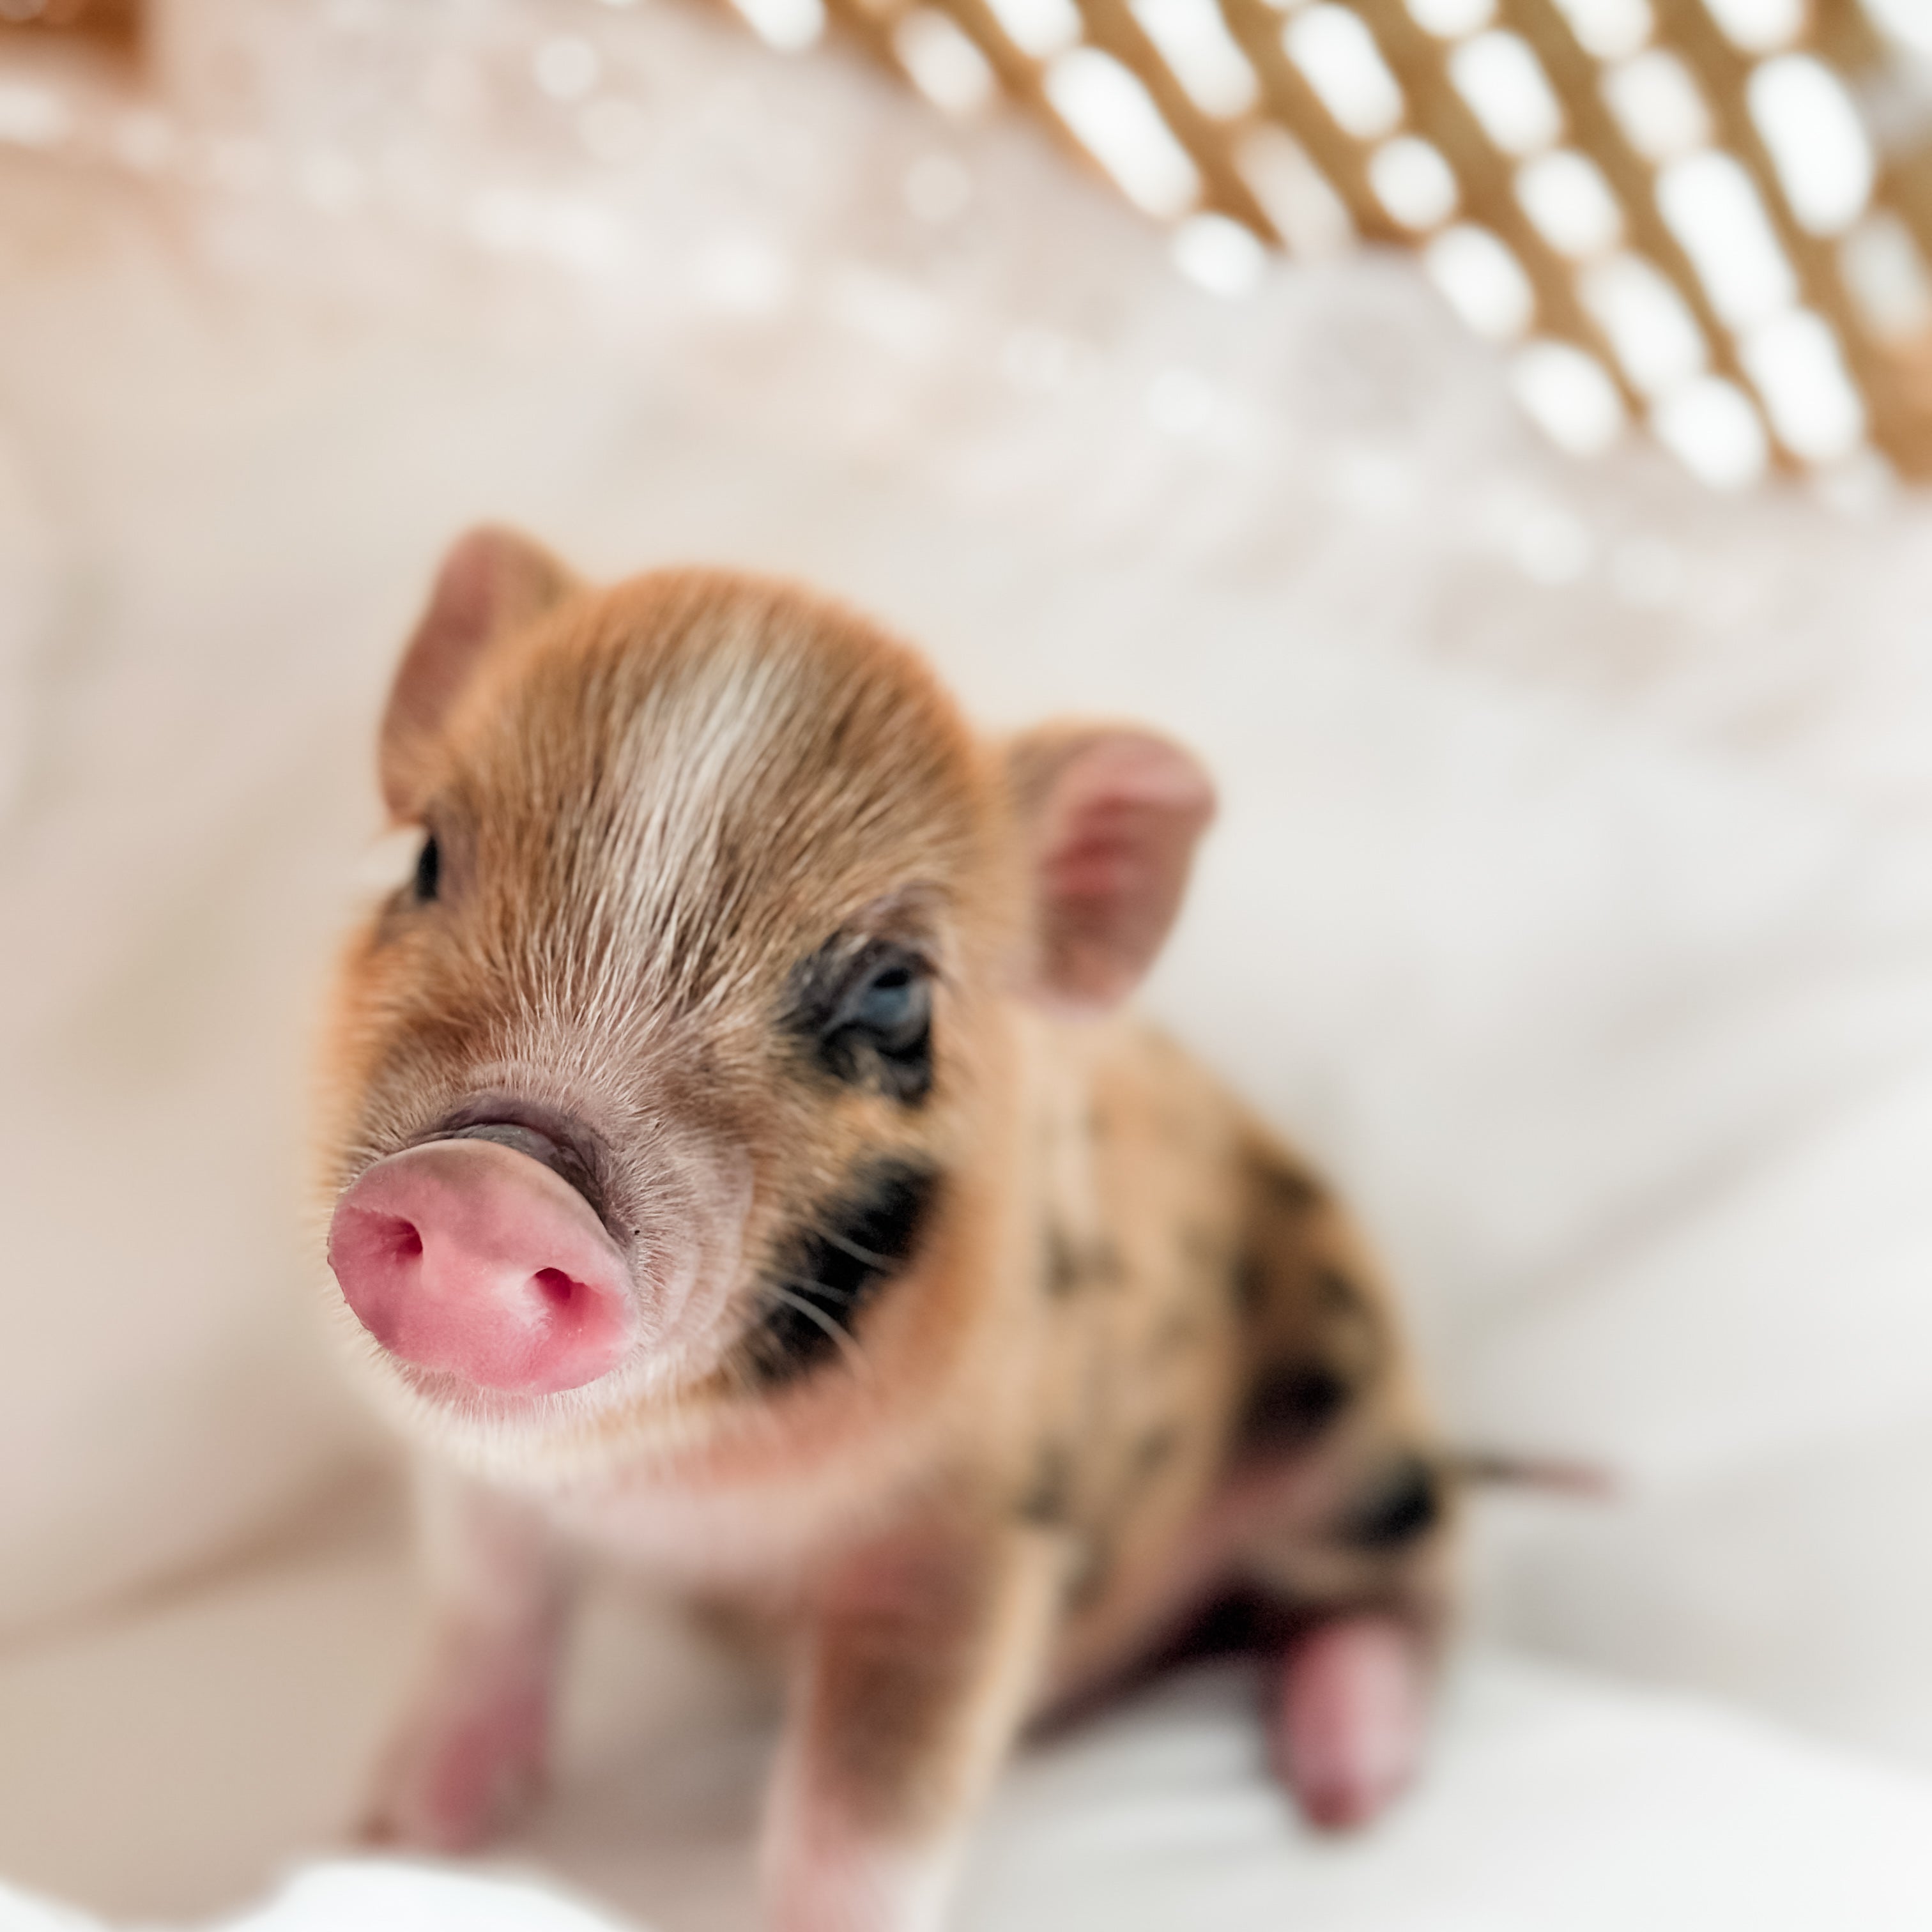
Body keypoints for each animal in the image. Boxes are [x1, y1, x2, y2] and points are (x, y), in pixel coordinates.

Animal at [315, 528, 1455, 1932]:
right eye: (426, 859)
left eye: (893, 993)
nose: (486, 1184)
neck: (681, 1491)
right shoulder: (487, 1486)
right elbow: (487, 1621)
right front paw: (394, 1835)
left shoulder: (976, 1540)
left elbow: (865, 1820)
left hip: (1362, 1429)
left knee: (1404, 1598)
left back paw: (1347, 1789)